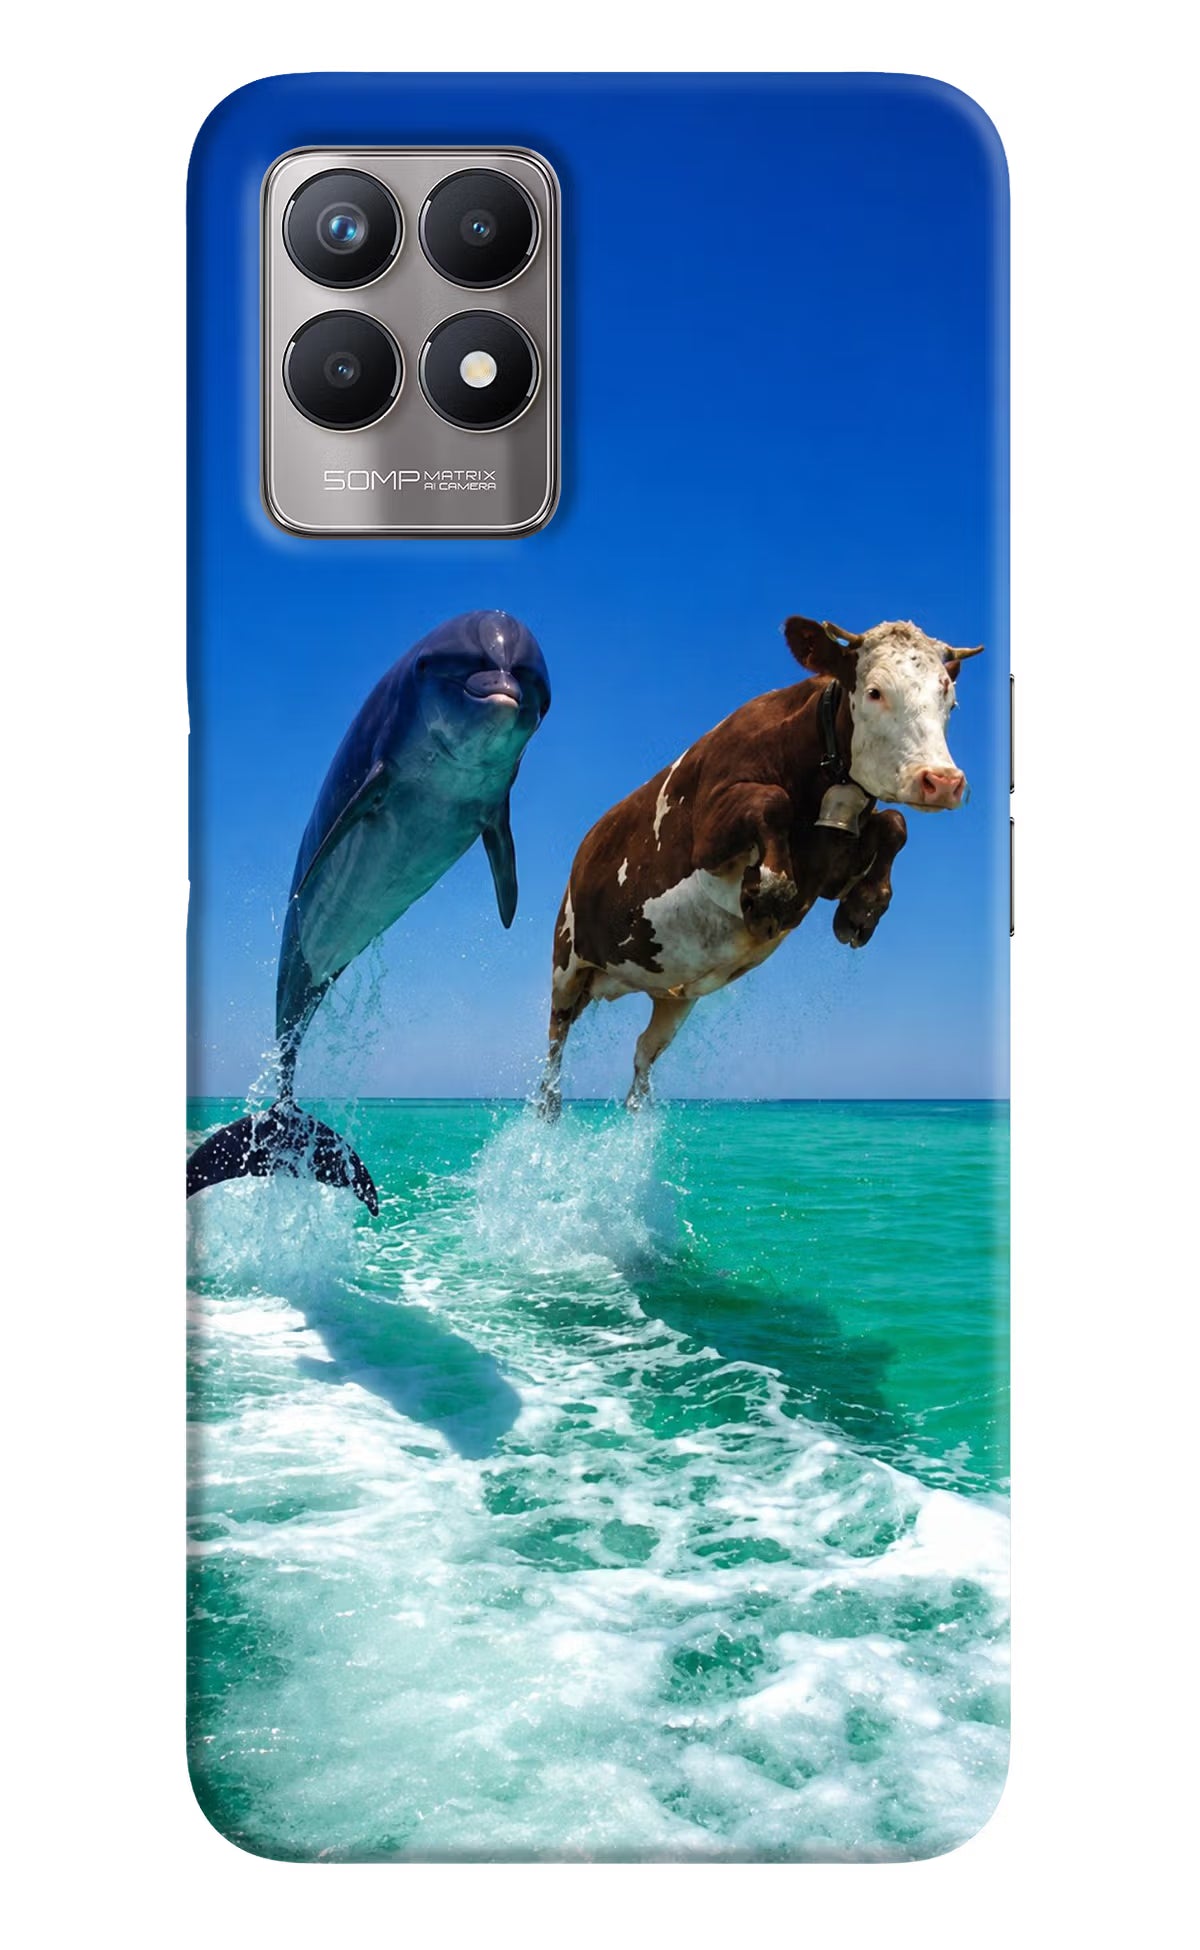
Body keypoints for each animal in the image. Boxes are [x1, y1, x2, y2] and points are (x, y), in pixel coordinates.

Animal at [537, 615, 983, 1116]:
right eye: (874, 691)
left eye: (950, 699)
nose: (942, 781)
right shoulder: (708, 835)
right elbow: (772, 802)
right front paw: (768, 893)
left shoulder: (830, 867)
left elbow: (894, 823)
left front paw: (862, 910)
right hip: (566, 962)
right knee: (555, 1042)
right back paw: (549, 1106)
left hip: (673, 995)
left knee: (643, 1053)